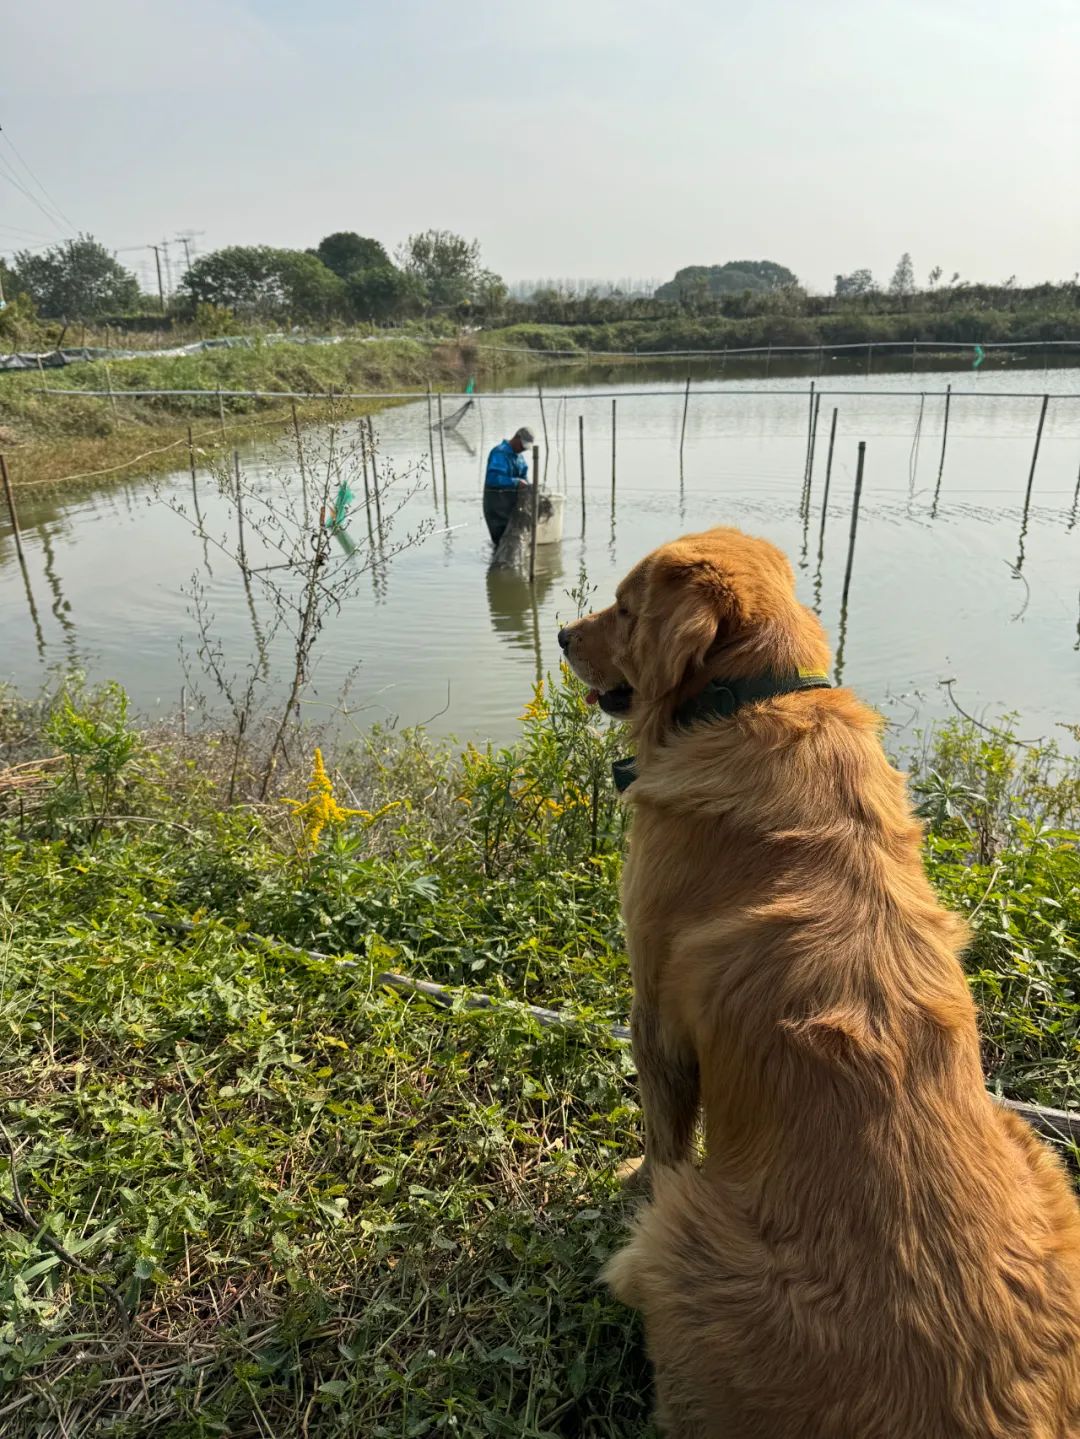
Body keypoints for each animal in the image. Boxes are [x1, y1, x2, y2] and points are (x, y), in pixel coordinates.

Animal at [560, 529, 1080, 1439]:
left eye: (623, 608)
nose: (556, 635)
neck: (749, 699)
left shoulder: (653, 1013)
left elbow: (664, 1138)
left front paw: (633, 1175)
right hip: (1040, 1157)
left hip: (678, 1244)